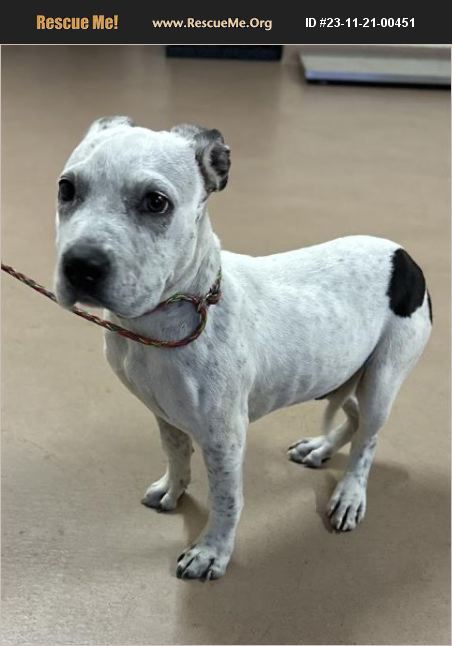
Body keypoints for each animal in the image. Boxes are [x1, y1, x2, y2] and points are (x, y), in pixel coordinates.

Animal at [54, 117, 432, 580]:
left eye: (156, 202)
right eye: (67, 189)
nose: (80, 266)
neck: (160, 324)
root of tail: (405, 257)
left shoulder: (225, 437)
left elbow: (227, 499)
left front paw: (213, 551)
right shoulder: (165, 414)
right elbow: (176, 454)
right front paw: (173, 489)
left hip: (382, 378)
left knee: (369, 441)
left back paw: (349, 495)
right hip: (338, 372)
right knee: (356, 418)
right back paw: (320, 449)